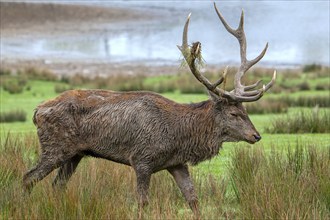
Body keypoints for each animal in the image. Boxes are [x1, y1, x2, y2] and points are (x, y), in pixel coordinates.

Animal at [22, 3, 276, 218]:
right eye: (234, 114)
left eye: (246, 112)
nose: (256, 135)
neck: (179, 136)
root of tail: (37, 112)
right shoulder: (142, 159)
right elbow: (143, 201)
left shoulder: (177, 163)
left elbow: (193, 199)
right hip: (55, 147)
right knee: (28, 178)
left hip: (75, 153)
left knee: (57, 185)